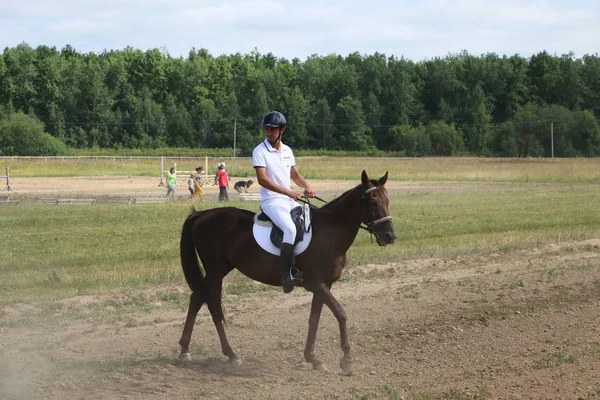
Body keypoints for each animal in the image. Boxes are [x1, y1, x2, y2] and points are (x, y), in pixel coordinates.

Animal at [176, 169, 396, 372]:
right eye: (373, 202)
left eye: (387, 200)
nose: (390, 236)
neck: (329, 232)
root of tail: (202, 214)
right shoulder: (316, 283)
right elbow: (340, 313)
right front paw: (347, 360)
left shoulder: (324, 284)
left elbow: (314, 318)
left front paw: (312, 358)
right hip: (215, 271)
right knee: (212, 306)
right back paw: (231, 354)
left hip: (220, 270)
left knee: (196, 299)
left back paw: (185, 350)